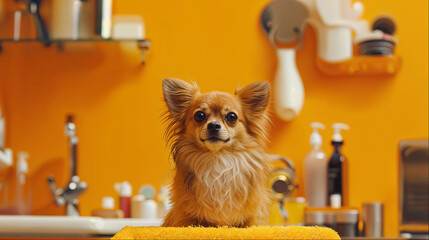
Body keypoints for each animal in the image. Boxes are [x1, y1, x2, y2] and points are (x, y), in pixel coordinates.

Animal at [160, 78, 270, 227]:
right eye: (199, 115)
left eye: (232, 117)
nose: (213, 125)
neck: (217, 158)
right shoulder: (185, 216)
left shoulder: (252, 216)